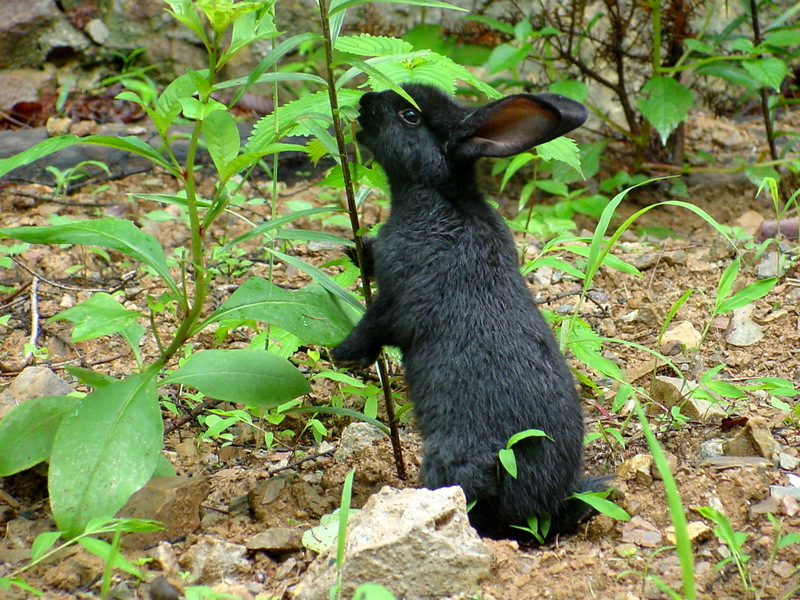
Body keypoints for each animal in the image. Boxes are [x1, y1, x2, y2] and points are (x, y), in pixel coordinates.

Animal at [332, 83, 608, 540]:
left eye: (410, 115)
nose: (365, 101)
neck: (440, 197)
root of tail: (541, 503)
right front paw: (356, 250)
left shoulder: (401, 301)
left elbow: (373, 328)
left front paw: (341, 355)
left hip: (451, 460)